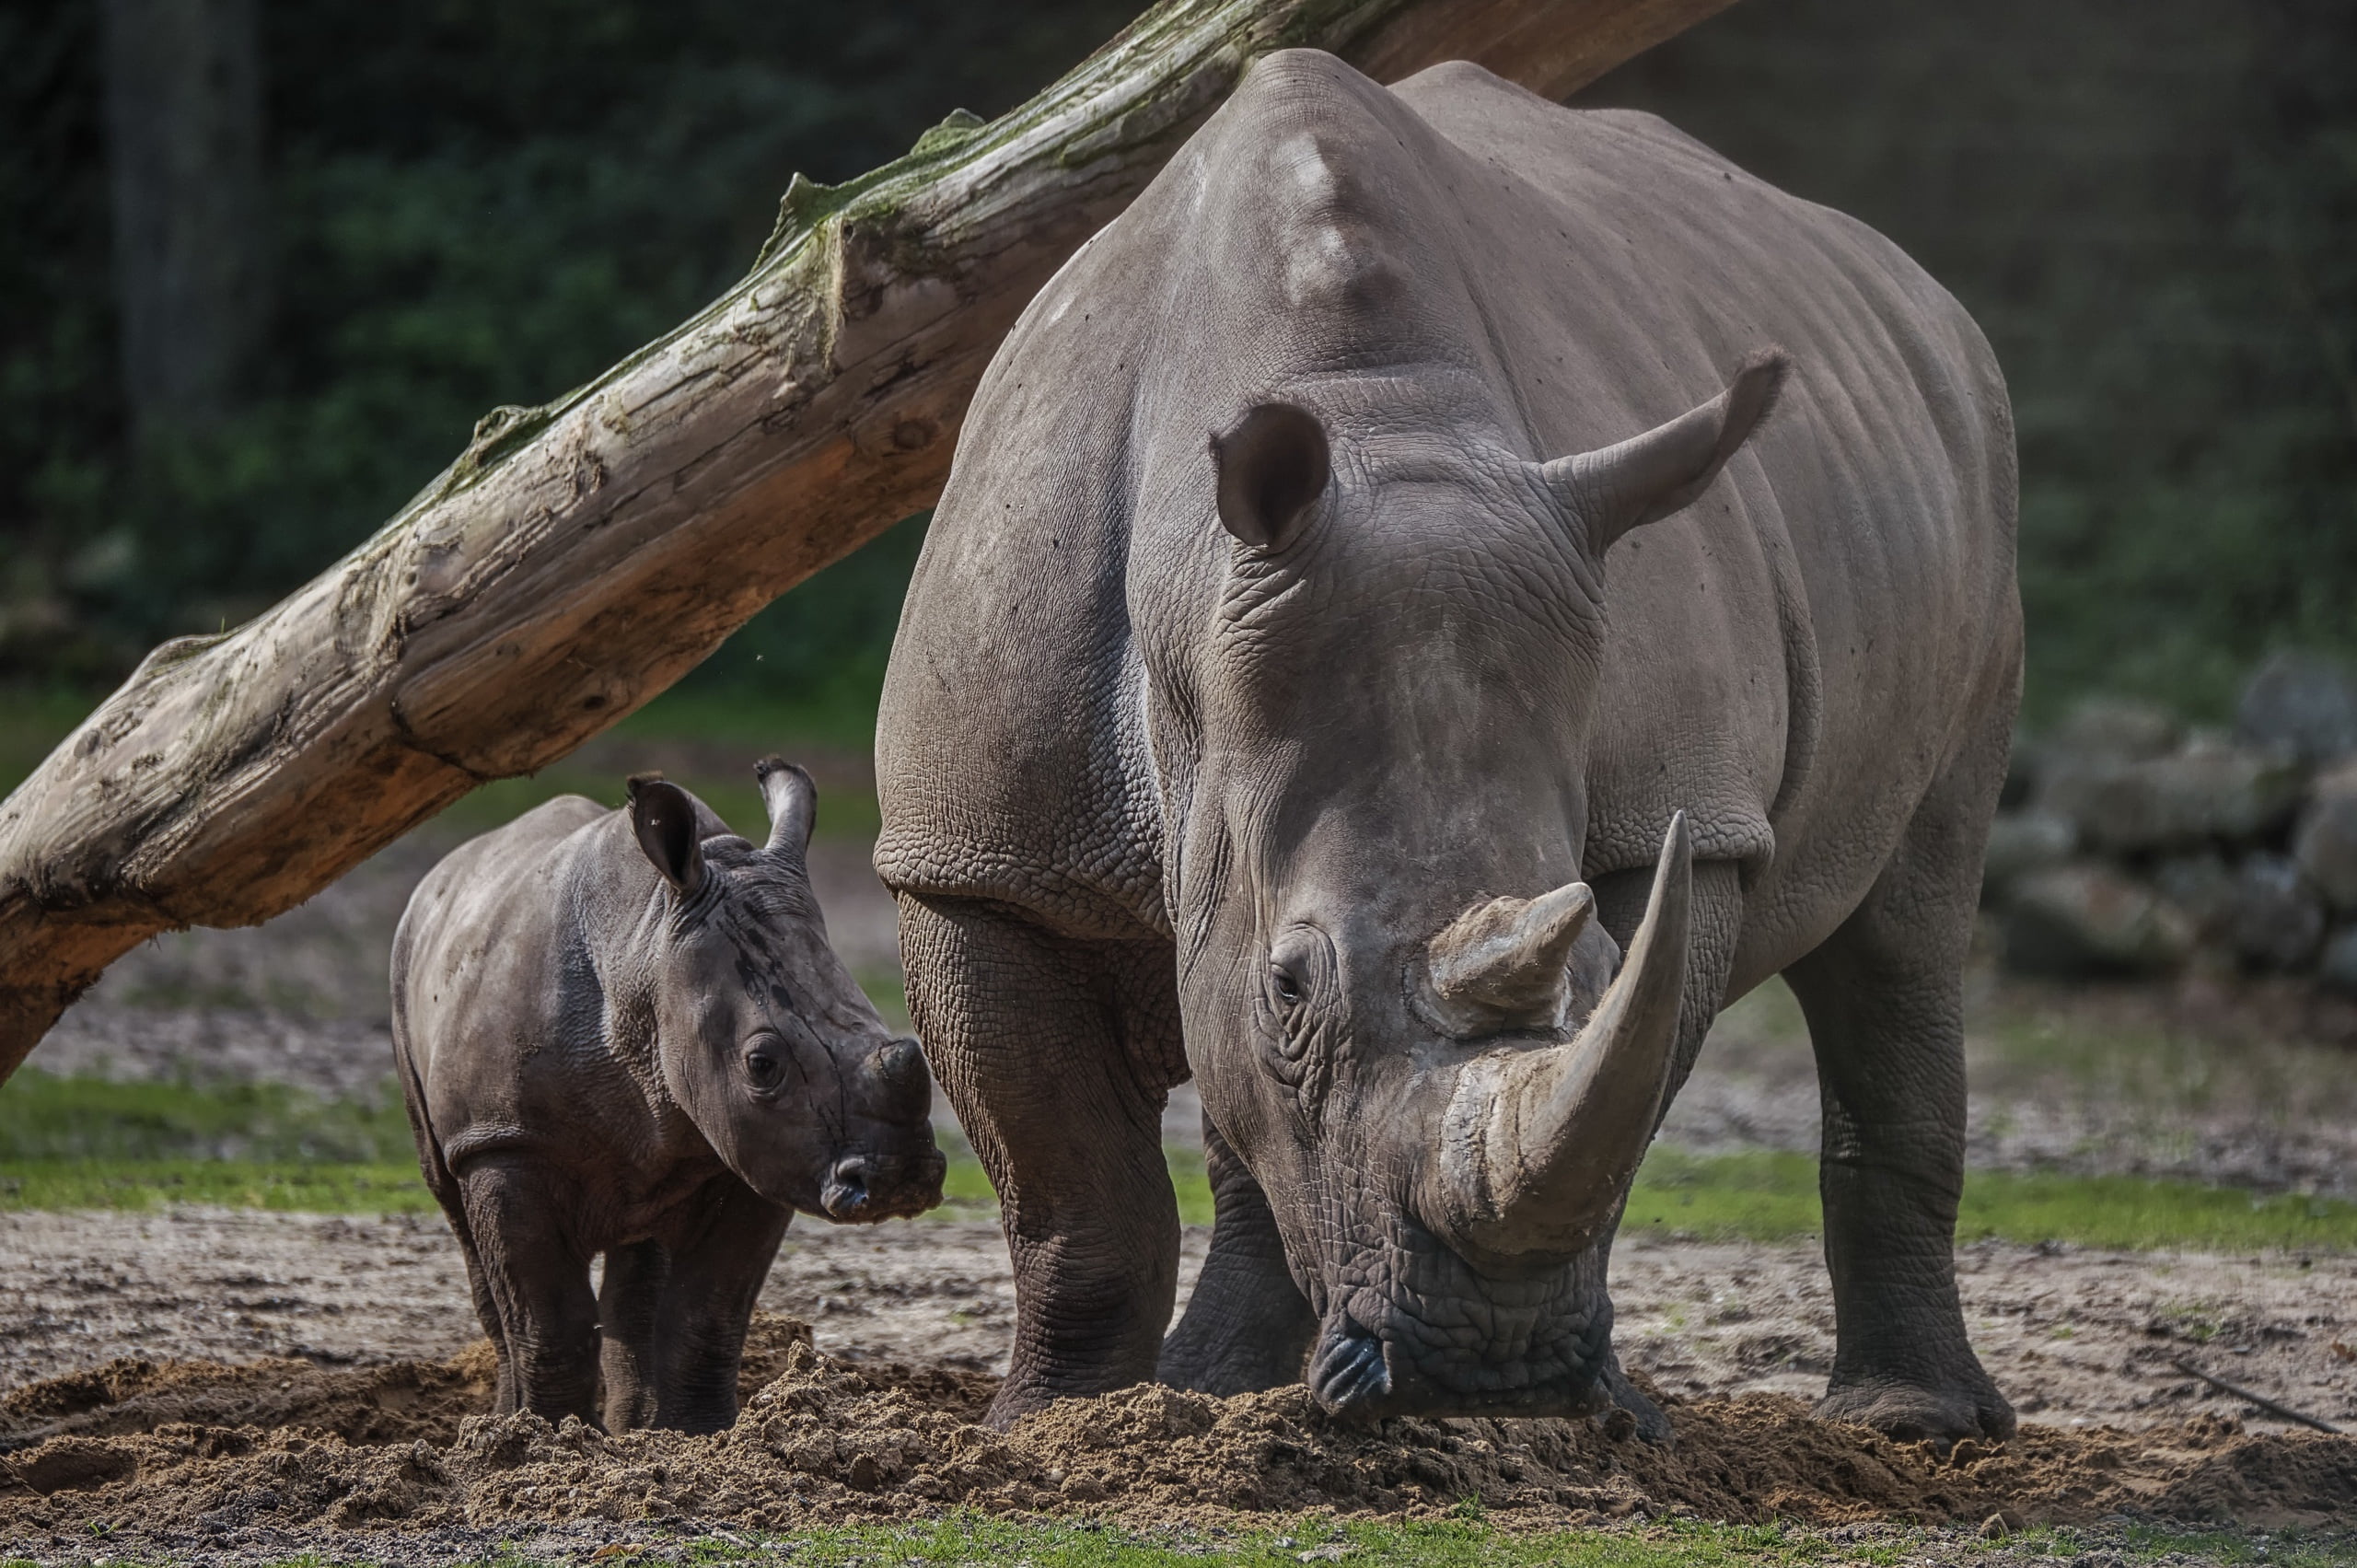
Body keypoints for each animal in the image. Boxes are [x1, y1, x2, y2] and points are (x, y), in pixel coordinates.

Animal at [393, 761, 945, 1433]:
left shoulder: (759, 1155)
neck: (646, 949)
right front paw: (540, 1439)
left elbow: (707, 1315)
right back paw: (506, 1423)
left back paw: (635, 1428)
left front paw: (701, 1436)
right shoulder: (503, 1141)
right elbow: (547, 1323)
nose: (900, 1179)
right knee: (462, 1223)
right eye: (762, 1065)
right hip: (410, 979)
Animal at [877, 50, 2021, 1444]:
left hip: (1974, 467)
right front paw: (1057, 1429)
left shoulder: (1680, 819)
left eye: (1596, 960)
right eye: (1289, 985)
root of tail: (1927, 299)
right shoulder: (977, 852)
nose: (1492, 1364)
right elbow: (1074, 1182)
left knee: (1910, 919)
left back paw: (1905, 1423)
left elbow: (1618, 1057)